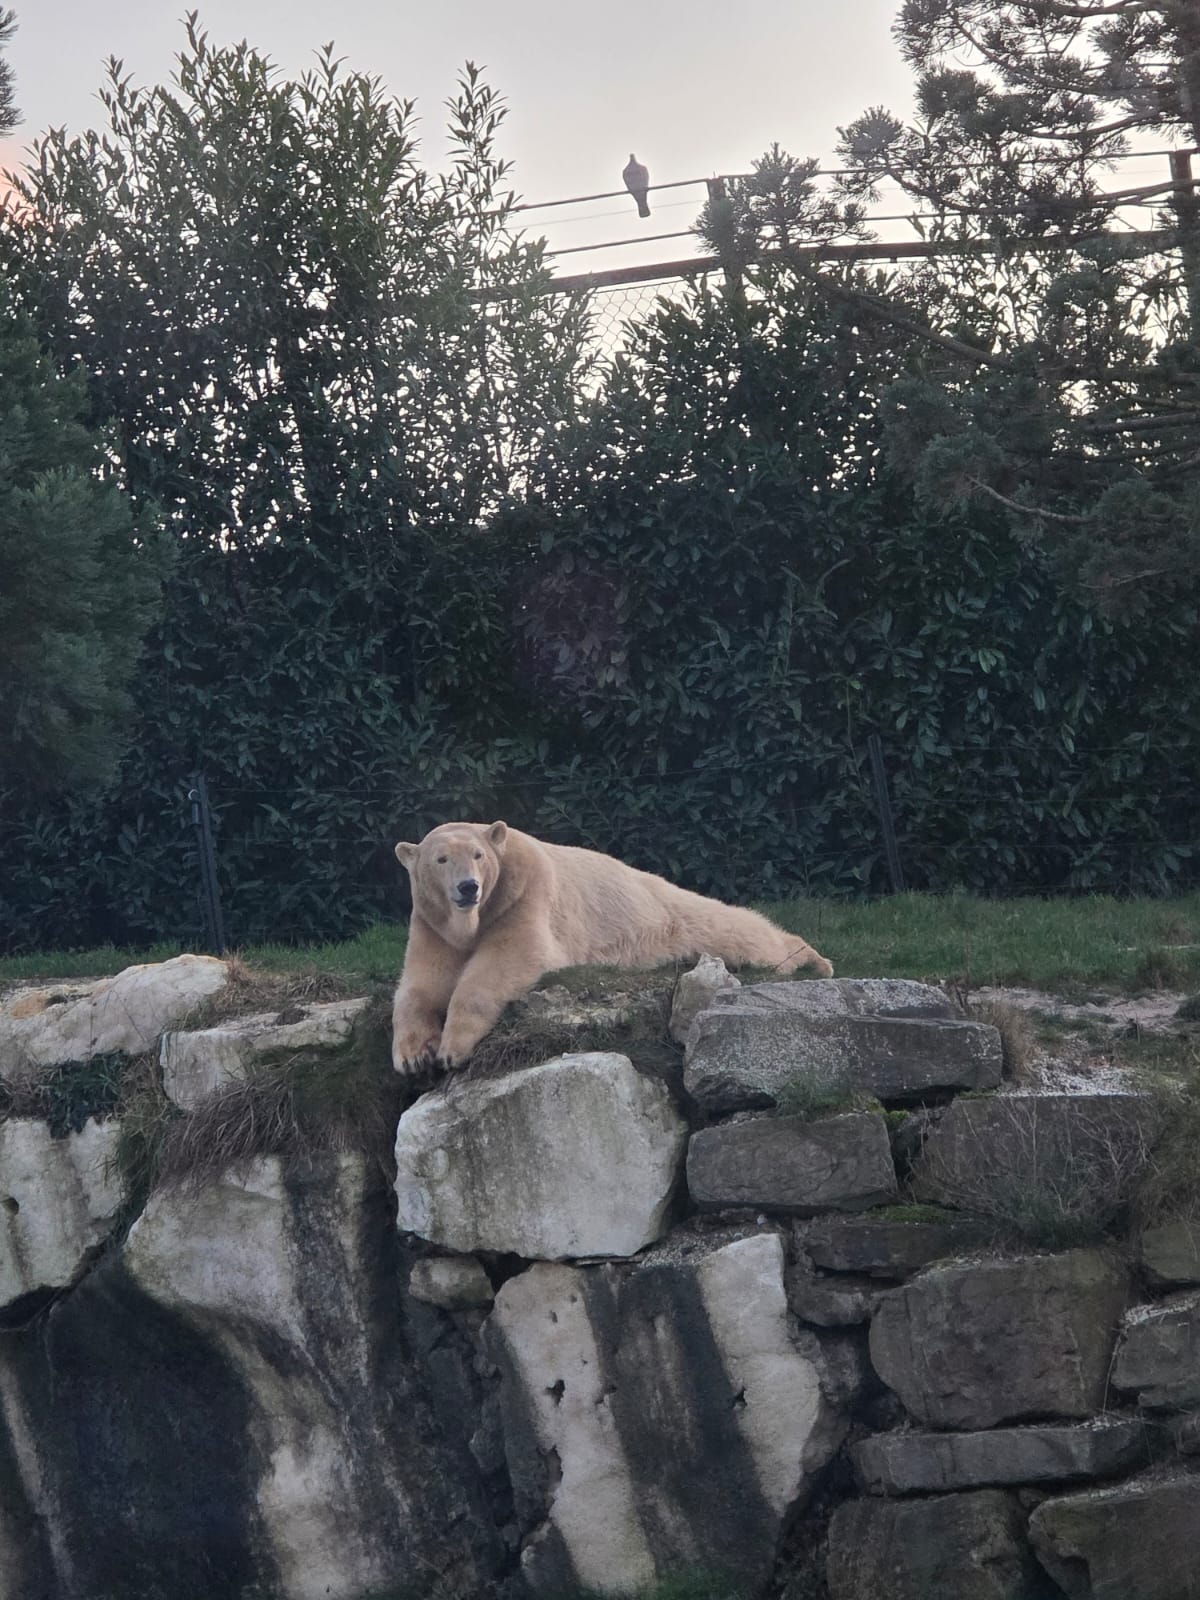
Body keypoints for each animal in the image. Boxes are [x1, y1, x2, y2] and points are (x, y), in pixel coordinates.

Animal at [391, 819, 833, 1073]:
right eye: (441, 859)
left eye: (479, 854)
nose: (469, 888)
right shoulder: (432, 922)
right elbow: (420, 984)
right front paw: (413, 1055)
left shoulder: (521, 895)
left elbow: (508, 958)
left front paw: (451, 1050)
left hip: (670, 914)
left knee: (733, 927)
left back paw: (813, 959)